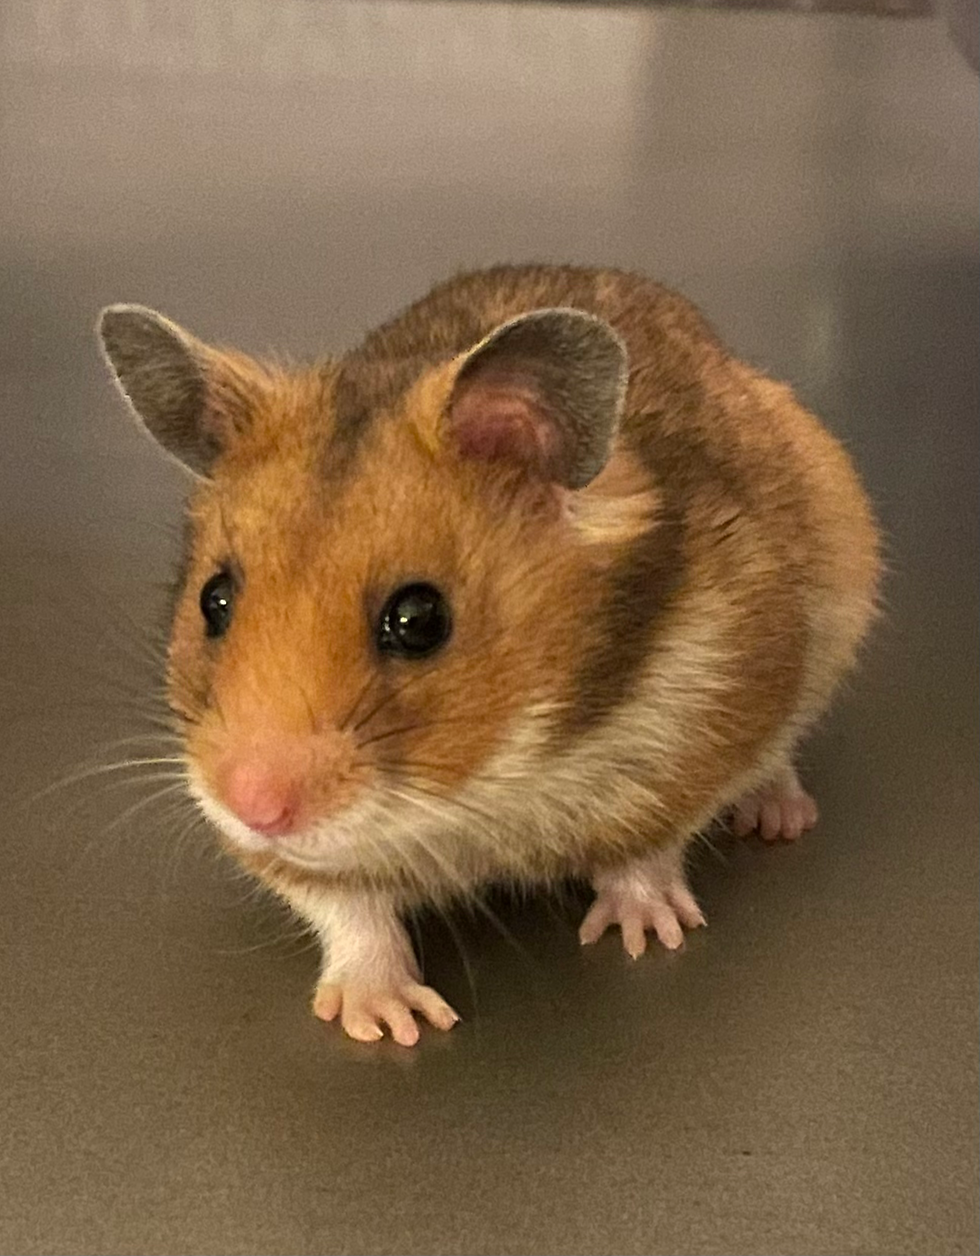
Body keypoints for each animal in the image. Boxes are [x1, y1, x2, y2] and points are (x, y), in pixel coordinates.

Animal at [97, 264, 880, 1046]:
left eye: (419, 620)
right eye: (214, 599)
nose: (253, 807)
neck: (491, 785)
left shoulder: (706, 719)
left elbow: (645, 851)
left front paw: (646, 935)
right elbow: (351, 914)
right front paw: (389, 1023)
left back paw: (778, 819)